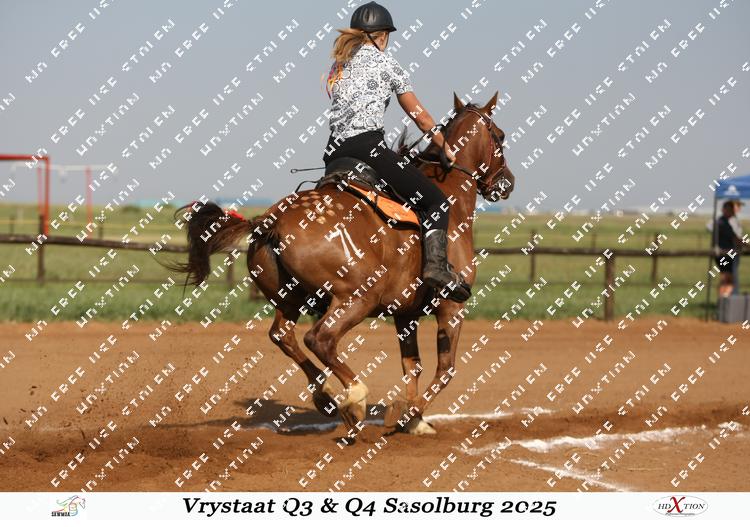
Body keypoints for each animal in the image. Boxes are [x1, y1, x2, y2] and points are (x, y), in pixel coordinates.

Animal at [167, 92, 515, 437]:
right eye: (499, 135)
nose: (507, 182)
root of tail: (271, 219)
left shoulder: (405, 313)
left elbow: (412, 365)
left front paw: (415, 421)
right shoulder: (451, 307)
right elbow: (446, 369)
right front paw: (407, 415)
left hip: (289, 298)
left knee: (283, 336)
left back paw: (328, 397)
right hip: (357, 298)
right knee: (319, 339)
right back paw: (355, 397)